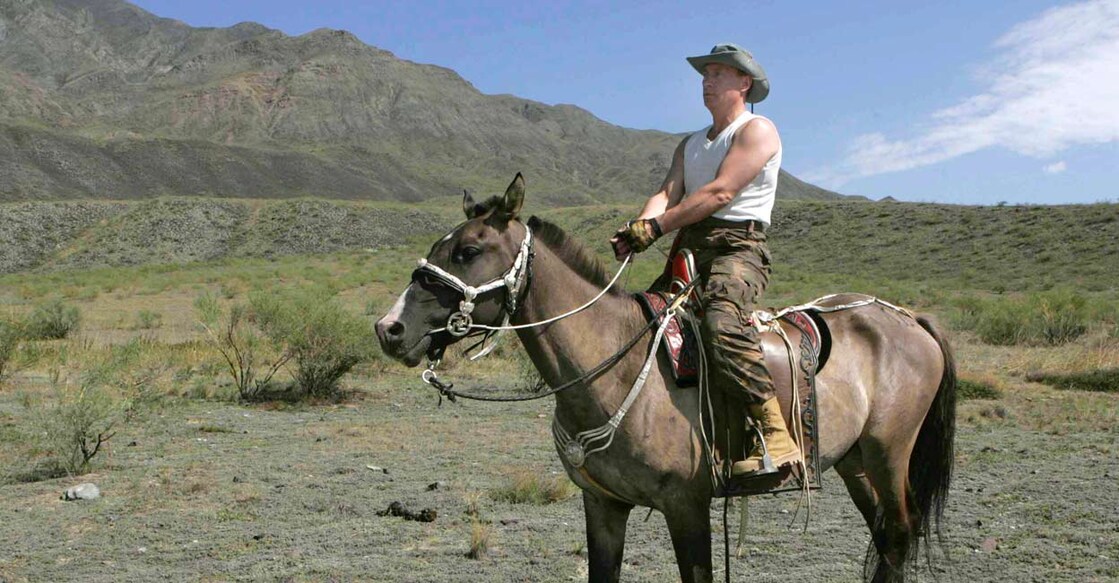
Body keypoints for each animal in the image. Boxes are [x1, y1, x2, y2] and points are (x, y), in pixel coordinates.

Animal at [375, 173, 953, 581]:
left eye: (468, 251)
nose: (389, 328)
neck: (615, 364)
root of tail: (906, 317)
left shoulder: (687, 506)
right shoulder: (604, 505)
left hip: (888, 452)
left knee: (899, 534)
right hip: (855, 462)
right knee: (886, 538)